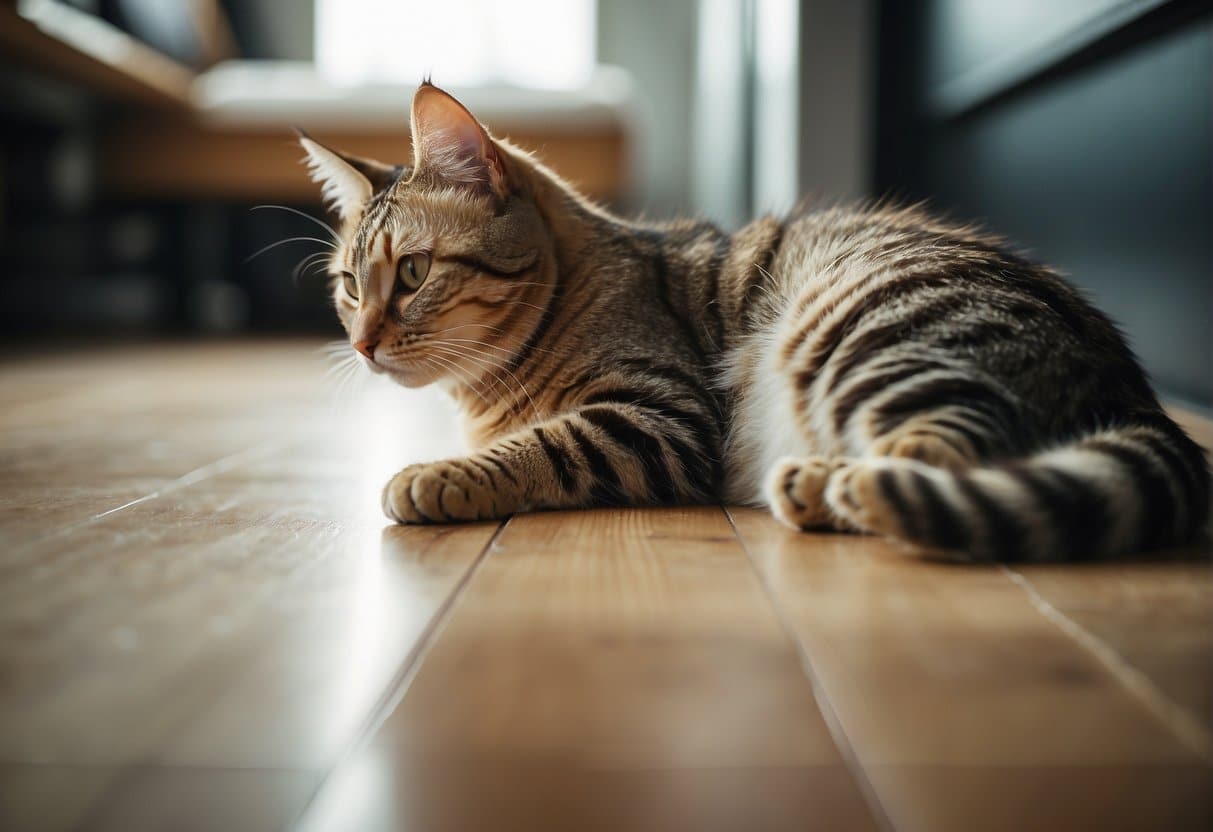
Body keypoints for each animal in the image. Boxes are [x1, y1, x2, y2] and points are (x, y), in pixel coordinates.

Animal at [298, 81, 1208, 562]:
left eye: (412, 274)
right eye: (347, 286)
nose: (361, 342)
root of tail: (1136, 392)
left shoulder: (661, 416)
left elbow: (542, 445)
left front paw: (437, 474)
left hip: (862, 332)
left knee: (947, 451)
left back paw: (836, 485)